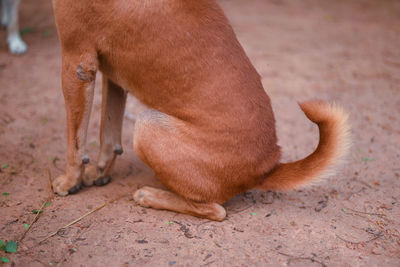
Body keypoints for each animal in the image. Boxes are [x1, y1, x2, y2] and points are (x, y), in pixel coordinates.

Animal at [52, 0, 350, 222]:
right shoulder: (111, 73)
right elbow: (108, 133)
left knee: (214, 210)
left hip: (147, 126)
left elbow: (74, 145)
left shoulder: (77, 62)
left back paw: (151, 196)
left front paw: (69, 183)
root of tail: (267, 166)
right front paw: (98, 173)